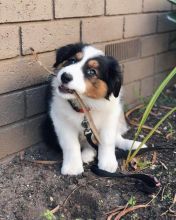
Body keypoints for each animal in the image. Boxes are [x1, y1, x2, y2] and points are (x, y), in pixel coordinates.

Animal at [45, 43, 146, 175]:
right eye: (72, 60)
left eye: (92, 72)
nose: (65, 76)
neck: (86, 105)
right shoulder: (61, 120)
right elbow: (70, 144)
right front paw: (73, 167)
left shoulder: (110, 118)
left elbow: (107, 141)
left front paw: (107, 163)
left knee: (116, 138)